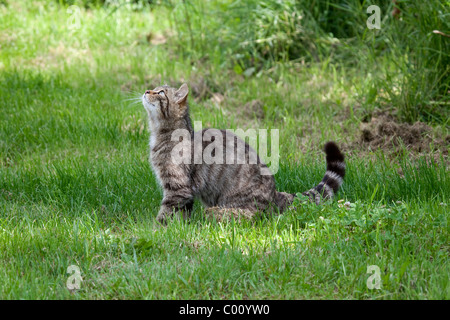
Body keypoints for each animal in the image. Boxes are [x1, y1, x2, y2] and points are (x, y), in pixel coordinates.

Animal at [142, 84, 346, 224]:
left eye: (161, 93)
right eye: (154, 89)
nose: (146, 91)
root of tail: (275, 194)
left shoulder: (178, 187)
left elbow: (165, 212)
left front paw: (156, 229)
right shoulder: (185, 192)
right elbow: (182, 214)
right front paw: (181, 228)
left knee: (253, 216)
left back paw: (215, 214)